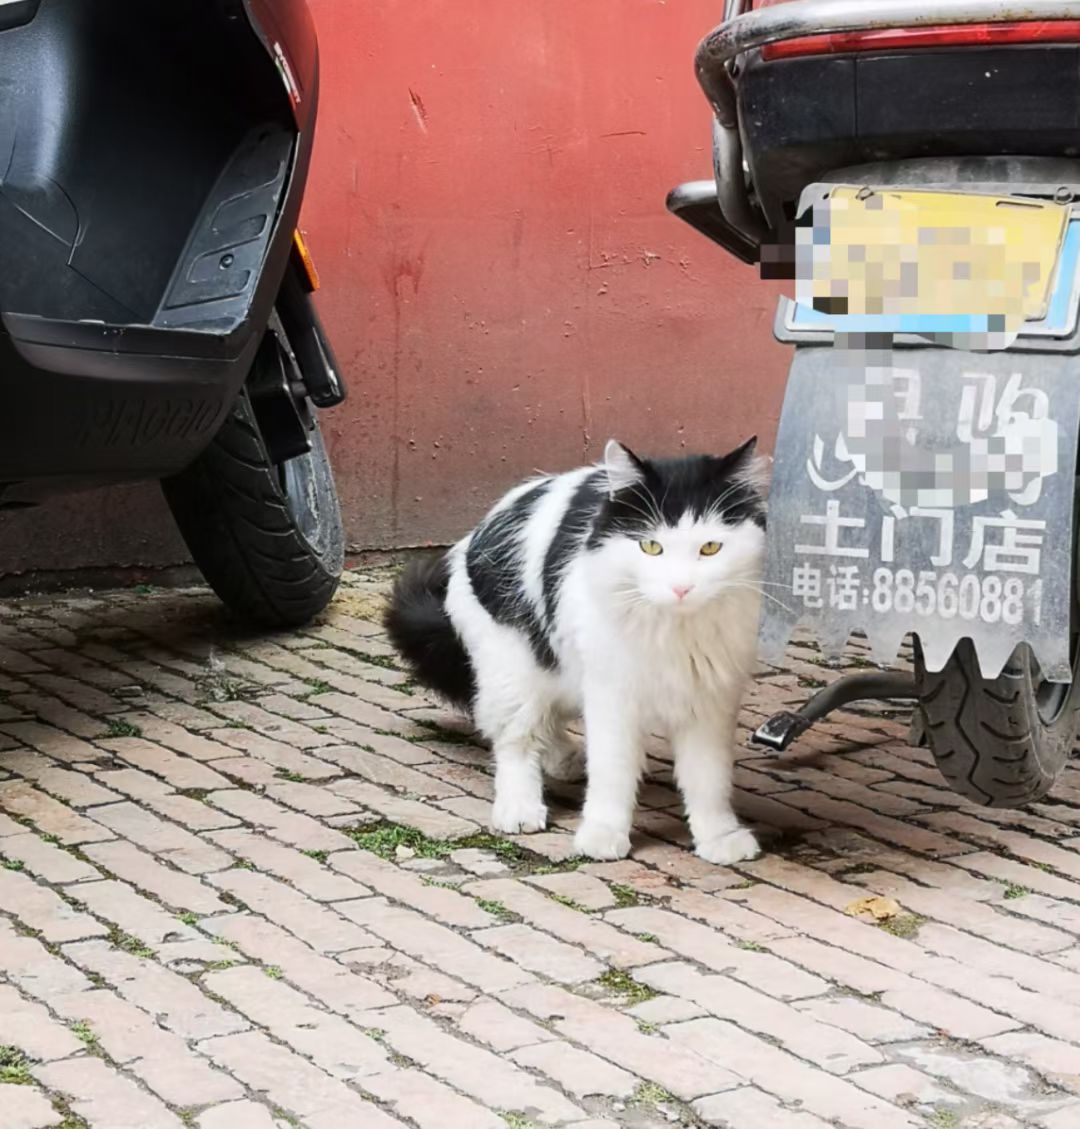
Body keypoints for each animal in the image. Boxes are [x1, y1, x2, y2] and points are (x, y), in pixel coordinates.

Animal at [385, 437, 768, 864]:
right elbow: (612, 770)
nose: (681, 587)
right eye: (651, 547)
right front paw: (603, 834)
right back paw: (520, 808)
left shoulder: (710, 700)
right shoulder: (611, 694)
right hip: (517, 671)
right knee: (516, 739)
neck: (673, 631)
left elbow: (709, 777)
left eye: (711, 548)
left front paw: (719, 837)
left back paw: (564, 759)